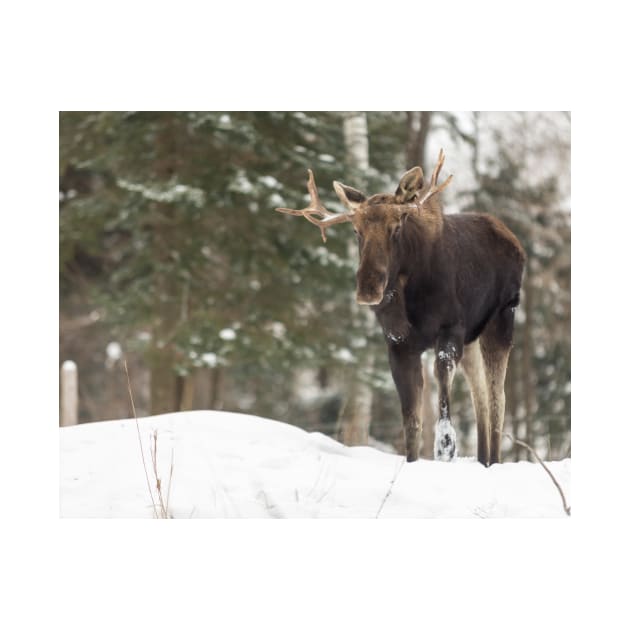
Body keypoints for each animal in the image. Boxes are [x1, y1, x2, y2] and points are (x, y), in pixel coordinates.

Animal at [274, 152, 524, 470]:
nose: (368, 288)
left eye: (396, 228)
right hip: (473, 337)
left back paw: (494, 460)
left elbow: (442, 385)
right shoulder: (398, 343)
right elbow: (411, 421)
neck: (410, 297)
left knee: (496, 398)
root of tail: (515, 241)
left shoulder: (451, 328)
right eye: (356, 230)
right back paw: (483, 461)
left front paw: (446, 446)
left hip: (502, 317)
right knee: (479, 392)